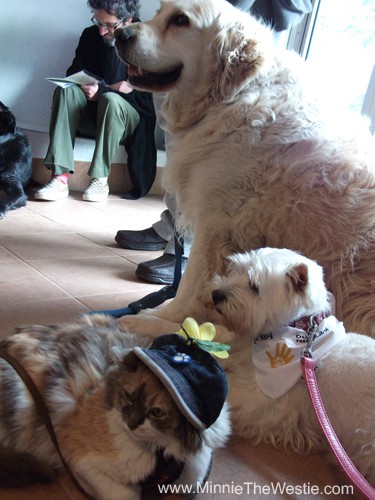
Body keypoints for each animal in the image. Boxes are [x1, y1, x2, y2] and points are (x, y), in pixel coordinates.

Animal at [114, 0, 375, 338]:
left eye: (181, 20)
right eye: (159, 13)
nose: (119, 34)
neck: (230, 97)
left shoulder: (215, 225)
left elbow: (189, 287)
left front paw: (159, 318)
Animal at [212, 248, 375, 486]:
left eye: (254, 286)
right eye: (235, 270)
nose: (216, 295)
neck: (301, 330)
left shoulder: (267, 403)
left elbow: (233, 393)